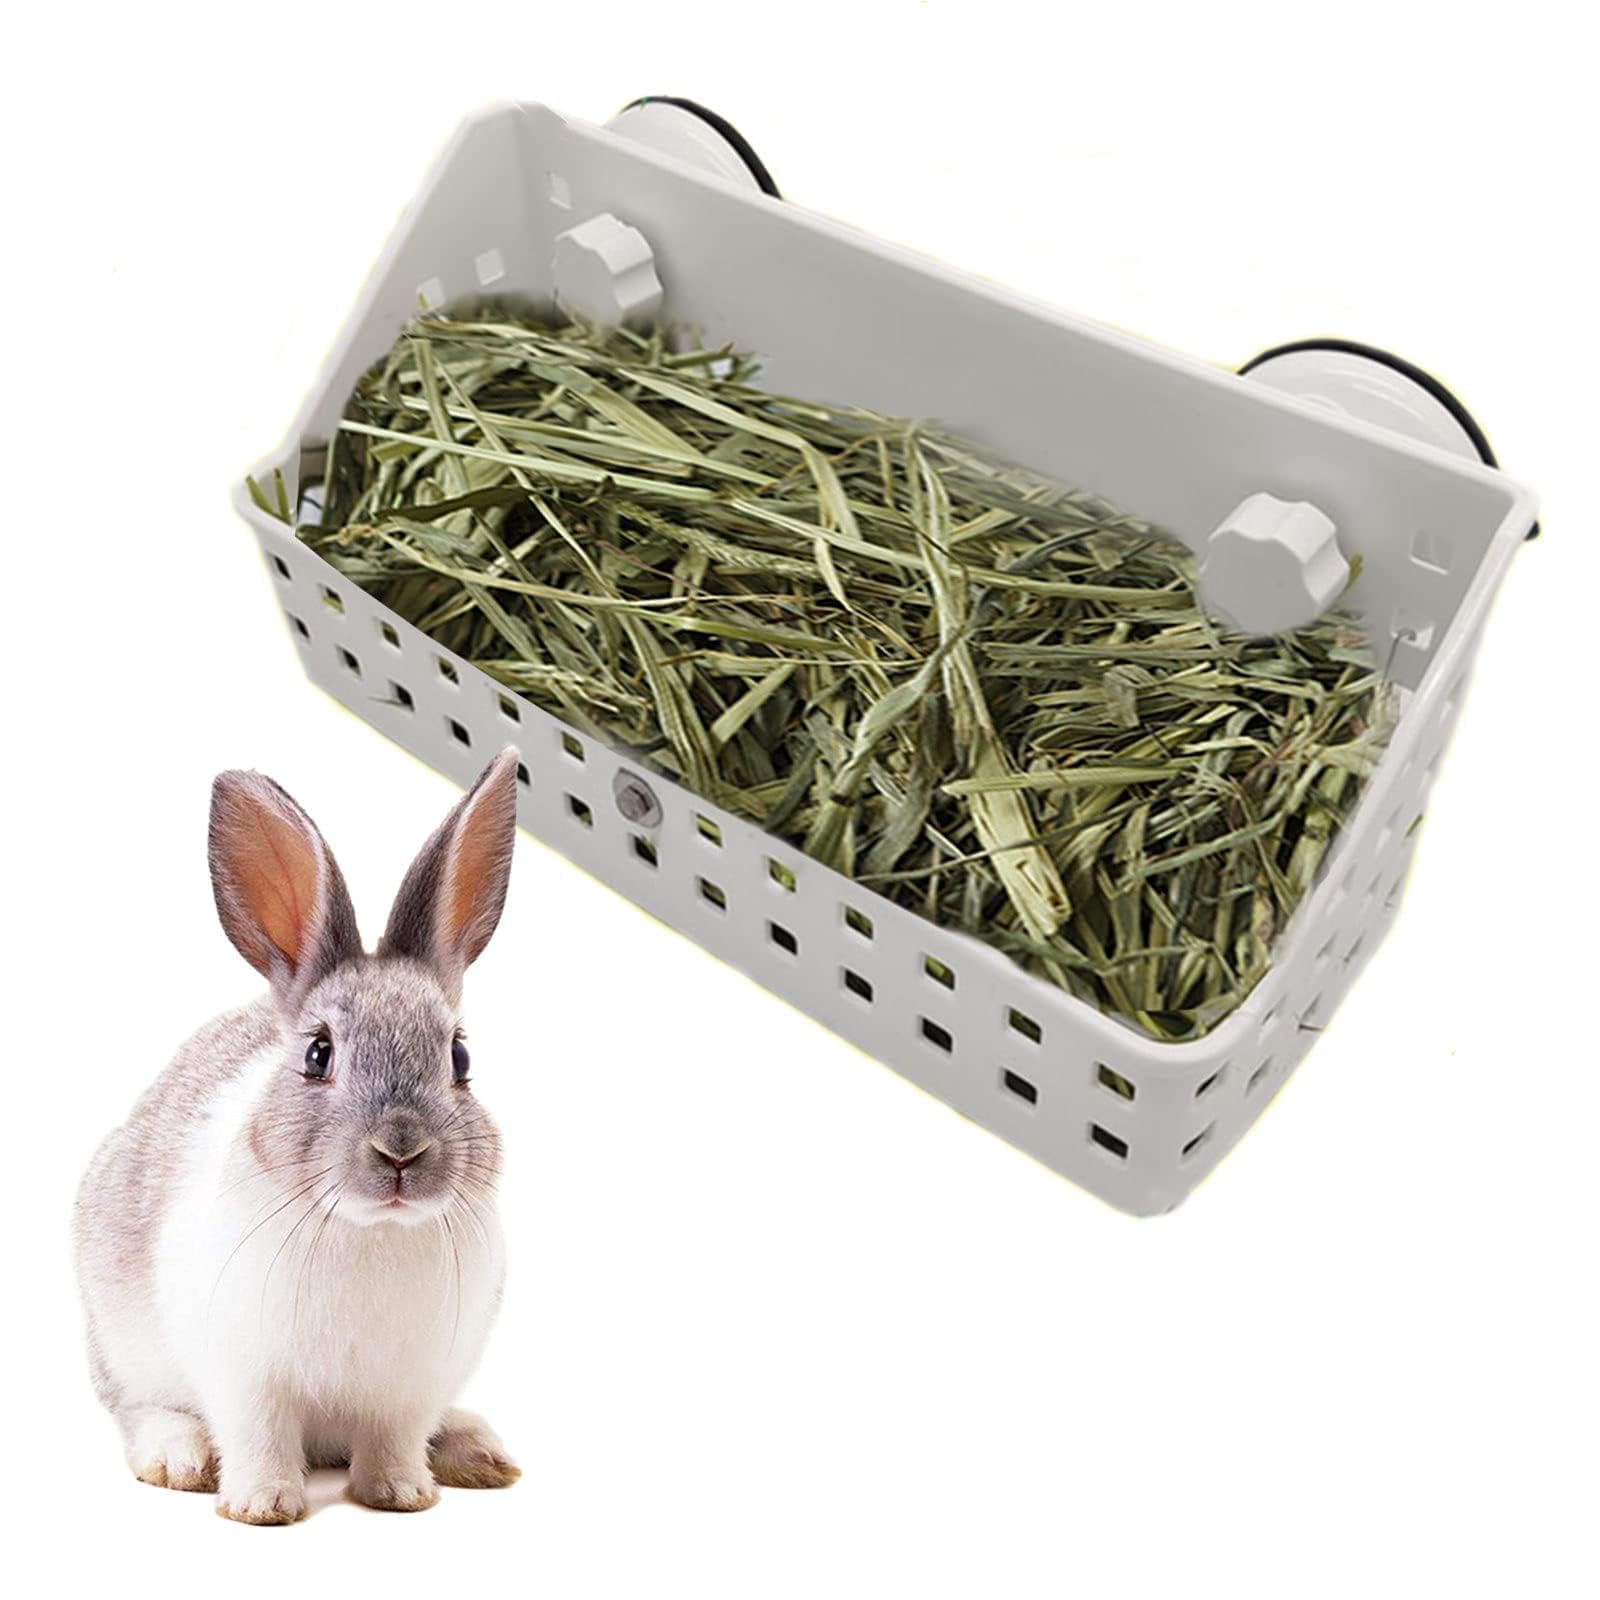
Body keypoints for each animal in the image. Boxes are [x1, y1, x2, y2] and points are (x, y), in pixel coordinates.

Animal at [73, 748, 524, 1523]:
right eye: (318, 1054)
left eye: (460, 1058)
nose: (400, 1150)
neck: (372, 1228)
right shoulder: (245, 1376)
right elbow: (258, 1436)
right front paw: (261, 1506)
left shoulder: (410, 1387)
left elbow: (395, 1439)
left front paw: (401, 1495)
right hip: (123, 1345)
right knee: (138, 1409)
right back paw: (179, 1458)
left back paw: (478, 1453)